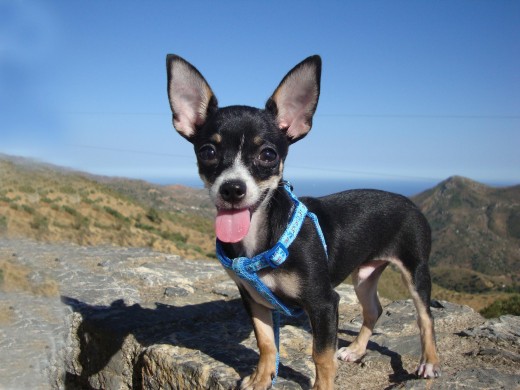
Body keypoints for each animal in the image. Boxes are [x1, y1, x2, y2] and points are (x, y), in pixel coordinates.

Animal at [166, 53, 438, 388]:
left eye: (268, 155)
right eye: (207, 151)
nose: (232, 188)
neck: (259, 238)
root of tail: (409, 201)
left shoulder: (324, 303)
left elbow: (321, 356)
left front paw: (321, 385)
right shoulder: (254, 298)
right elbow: (266, 342)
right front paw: (262, 377)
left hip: (415, 271)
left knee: (425, 317)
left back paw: (429, 362)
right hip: (364, 276)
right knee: (374, 309)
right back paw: (356, 350)